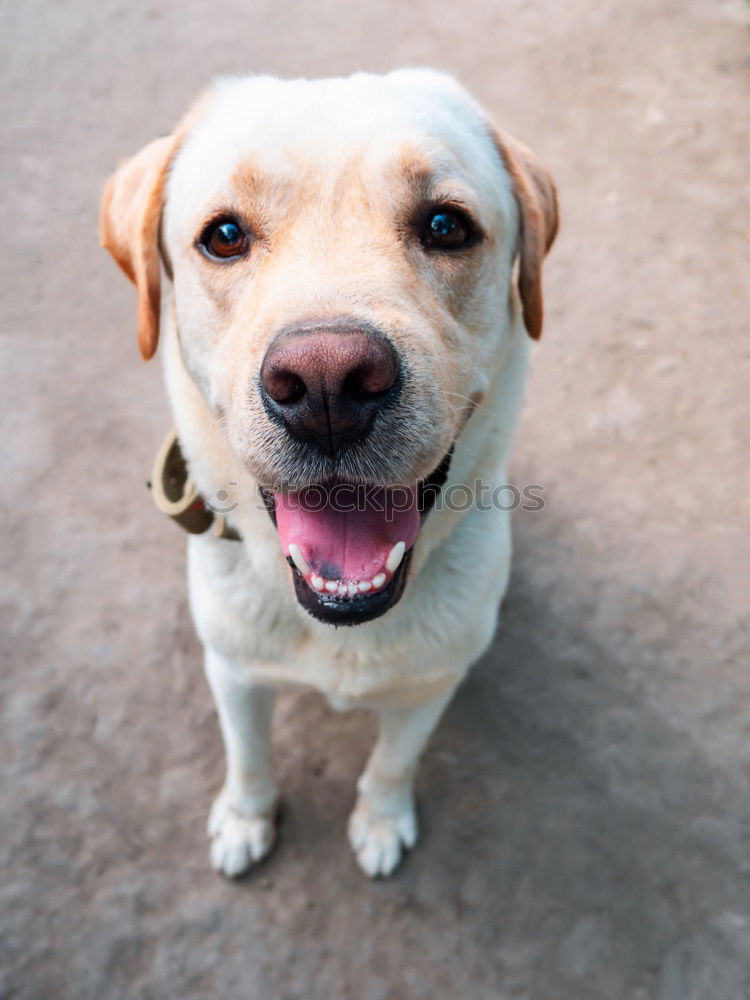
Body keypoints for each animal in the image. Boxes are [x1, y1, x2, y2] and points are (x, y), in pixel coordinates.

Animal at [100, 70, 560, 880]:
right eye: (224, 236)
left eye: (446, 225)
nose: (326, 385)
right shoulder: (234, 672)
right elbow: (249, 758)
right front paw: (246, 818)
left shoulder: (429, 688)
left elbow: (391, 765)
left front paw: (380, 821)